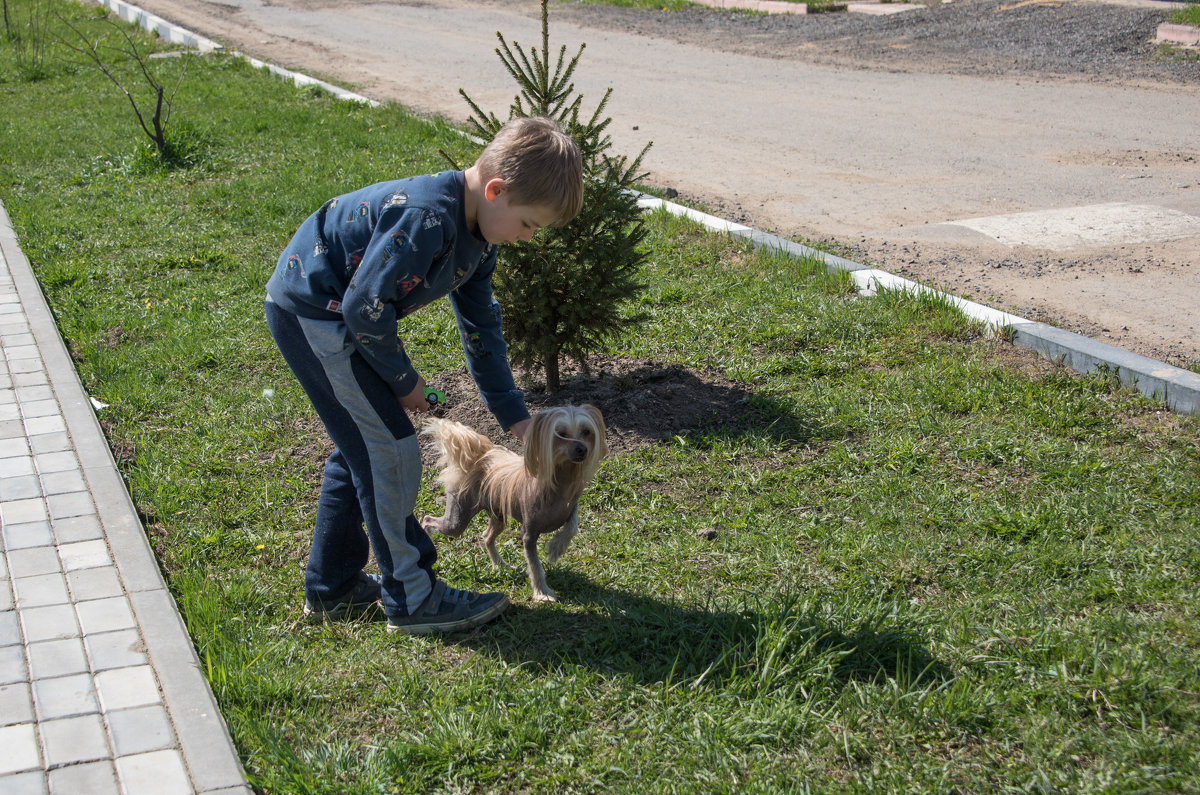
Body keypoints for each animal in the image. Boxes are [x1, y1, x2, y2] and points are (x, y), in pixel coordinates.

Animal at [422, 405, 609, 605]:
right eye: (561, 433)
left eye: (586, 431)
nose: (582, 449)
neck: (560, 485)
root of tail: (478, 459)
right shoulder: (528, 535)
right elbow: (534, 565)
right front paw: (542, 592)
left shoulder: (571, 508)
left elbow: (572, 527)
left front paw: (555, 549)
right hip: (457, 520)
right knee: (428, 520)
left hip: (497, 517)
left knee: (487, 537)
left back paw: (500, 564)